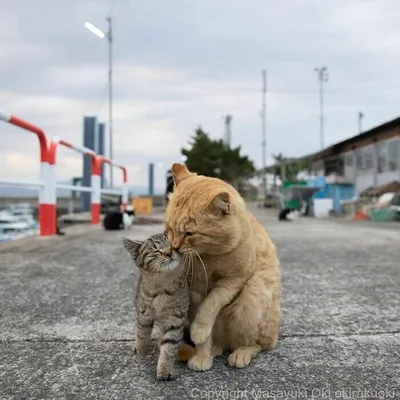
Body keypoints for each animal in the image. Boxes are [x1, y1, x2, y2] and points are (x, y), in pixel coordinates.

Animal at [122, 230, 189, 380]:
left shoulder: (175, 318)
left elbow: (169, 345)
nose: (168, 252)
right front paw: (142, 349)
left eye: (171, 244)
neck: (162, 289)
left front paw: (165, 369)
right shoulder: (143, 312)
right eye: (156, 250)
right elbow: (142, 332)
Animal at [164, 164, 280, 370]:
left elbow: (210, 305)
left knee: (257, 344)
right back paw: (215, 349)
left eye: (189, 233)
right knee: (223, 342)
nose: (174, 247)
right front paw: (203, 355)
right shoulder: (194, 290)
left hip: (253, 294)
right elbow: (203, 324)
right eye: (169, 229)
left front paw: (200, 332)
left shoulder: (233, 281)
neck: (209, 257)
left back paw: (241, 353)